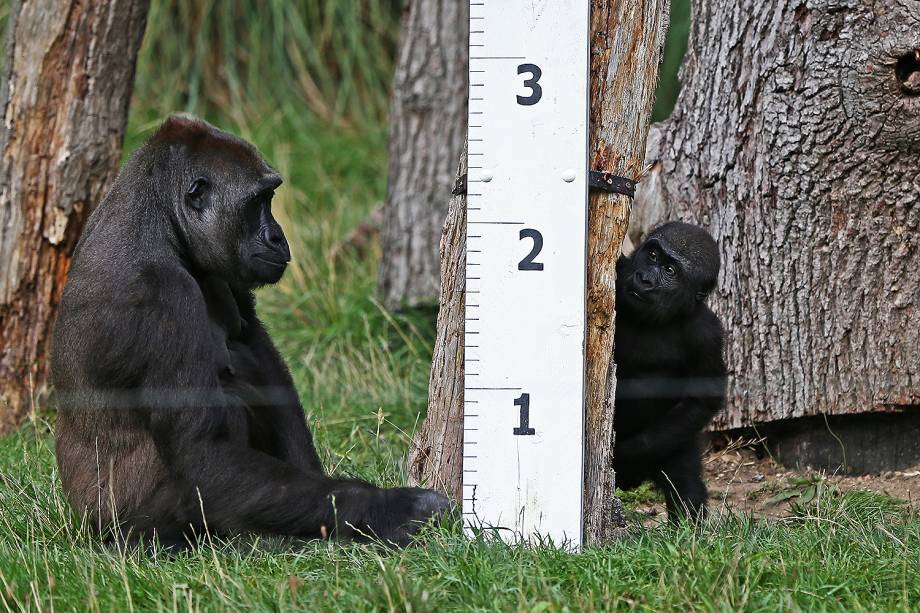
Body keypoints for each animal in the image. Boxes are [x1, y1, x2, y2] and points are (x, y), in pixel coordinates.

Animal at [52, 117, 452, 548]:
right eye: (258, 201)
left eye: (270, 197)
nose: (278, 236)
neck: (159, 222)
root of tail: (84, 523)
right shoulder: (159, 298)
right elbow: (203, 454)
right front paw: (388, 509)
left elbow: (256, 348)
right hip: (124, 529)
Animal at [616, 222, 728, 520]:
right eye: (653, 256)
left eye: (670, 271)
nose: (644, 279)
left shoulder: (707, 335)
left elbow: (702, 400)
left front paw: (625, 459)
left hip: (678, 439)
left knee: (685, 483)